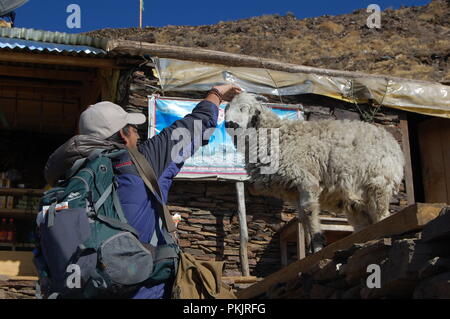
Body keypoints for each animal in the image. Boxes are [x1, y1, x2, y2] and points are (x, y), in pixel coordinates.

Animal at [225, 93, 404, 255]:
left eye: (244, 108)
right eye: (227, 109)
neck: (276, 135)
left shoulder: (306, 180)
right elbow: (303, 217)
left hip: (379, 183)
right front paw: (312, 245)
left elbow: (309, 211)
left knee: (382, 214)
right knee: (365, 221)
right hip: (357, 199)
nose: (229, 123)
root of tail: (393, 143)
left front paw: (317, 246)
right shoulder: (294, 191)